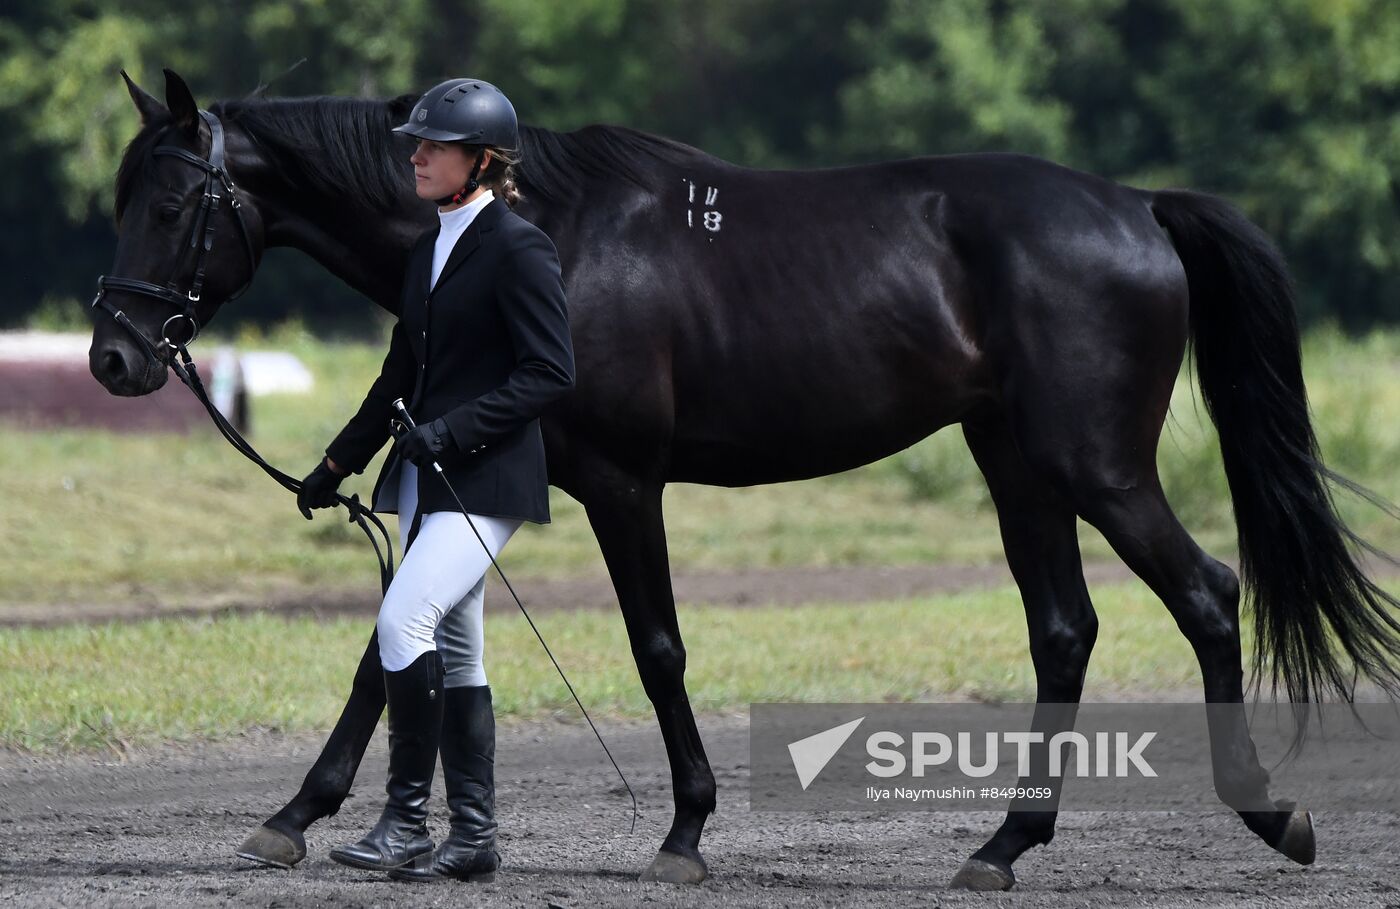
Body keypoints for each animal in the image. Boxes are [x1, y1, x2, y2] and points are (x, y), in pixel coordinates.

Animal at [90, 68, 1400, 885]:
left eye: (174, 201)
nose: (112, 356)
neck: (549, 234)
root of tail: (1135, 207)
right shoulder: (457, 472)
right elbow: (384, 652)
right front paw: (293, 818)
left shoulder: (621, 484)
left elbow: (656, 648)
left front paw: (683, 830)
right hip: (1015, 463)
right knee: (1064, 631)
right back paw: (999, 846)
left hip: (1096, 466)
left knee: (1204, 595)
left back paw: (1268, 814)